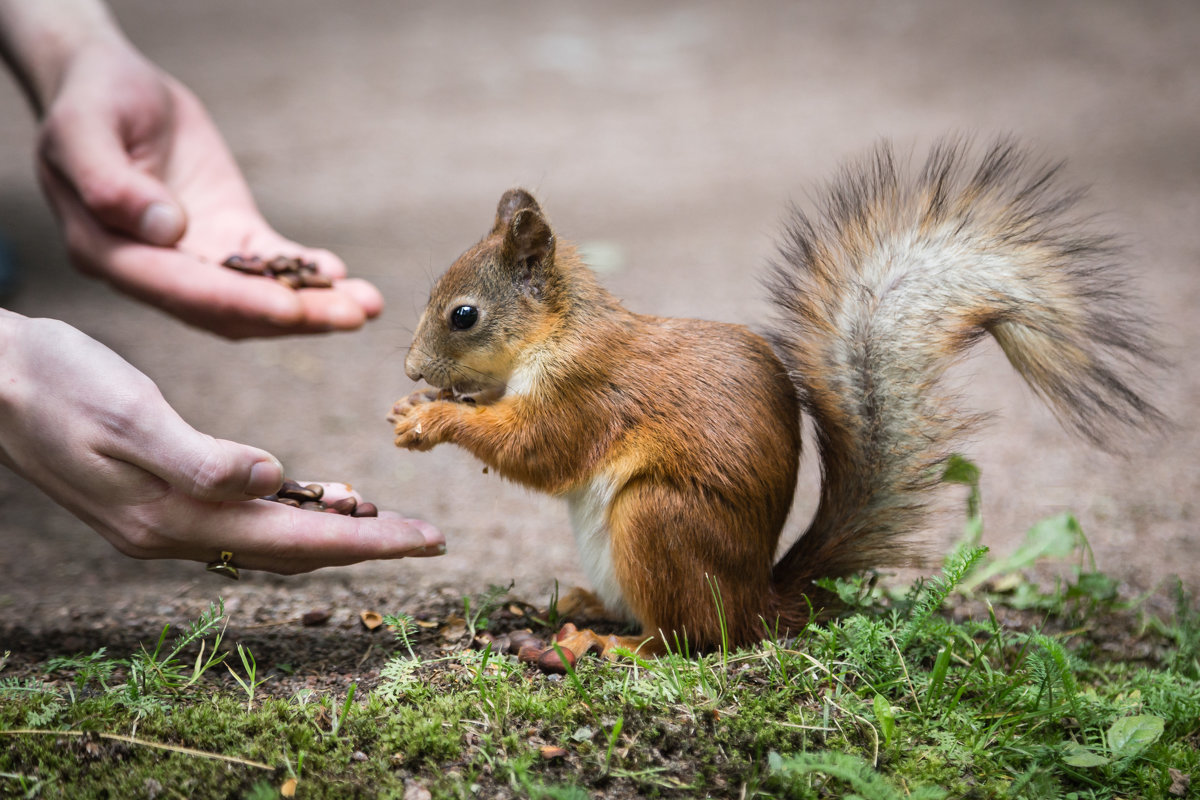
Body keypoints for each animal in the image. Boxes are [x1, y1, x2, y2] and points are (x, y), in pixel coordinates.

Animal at [391, 140, 1161, 662]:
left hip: (657, 520)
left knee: (692, 637)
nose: (411, 369)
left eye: (464, 316)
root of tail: (759, 602)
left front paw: (434, 417)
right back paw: (585, 604)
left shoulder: (586, 391)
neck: (559, 331)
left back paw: (618, 644)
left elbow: (538, 450)